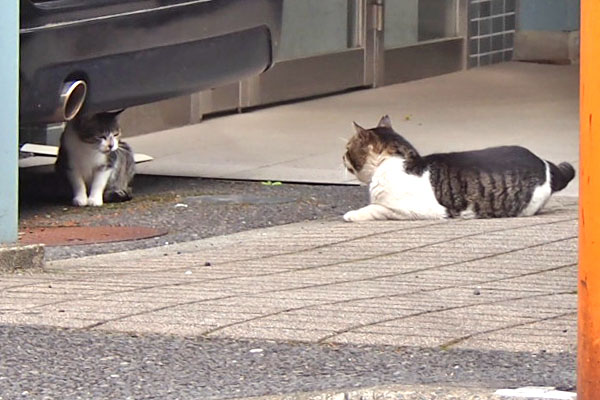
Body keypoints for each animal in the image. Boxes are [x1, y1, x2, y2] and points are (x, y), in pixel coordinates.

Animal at [342, 115, 572, 222]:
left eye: (347, 149)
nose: (342, 157)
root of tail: (545, 163)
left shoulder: (420, 209)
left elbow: (377, 207)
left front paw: (352, 214)